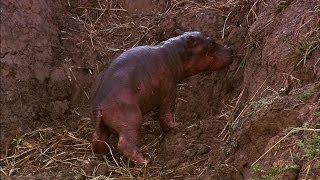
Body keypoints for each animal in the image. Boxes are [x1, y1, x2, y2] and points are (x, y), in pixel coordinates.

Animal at [90, 31, 232, 165]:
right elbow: (166, 112)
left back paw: (106, 154)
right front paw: (176, 126)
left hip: (102, 123)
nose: (231, 49)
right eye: (212, 43)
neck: (176, 54)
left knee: (98, 138)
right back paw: (145, 161)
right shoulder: (169, 91)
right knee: (125, 143)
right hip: (130, 118)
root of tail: (99, 103)